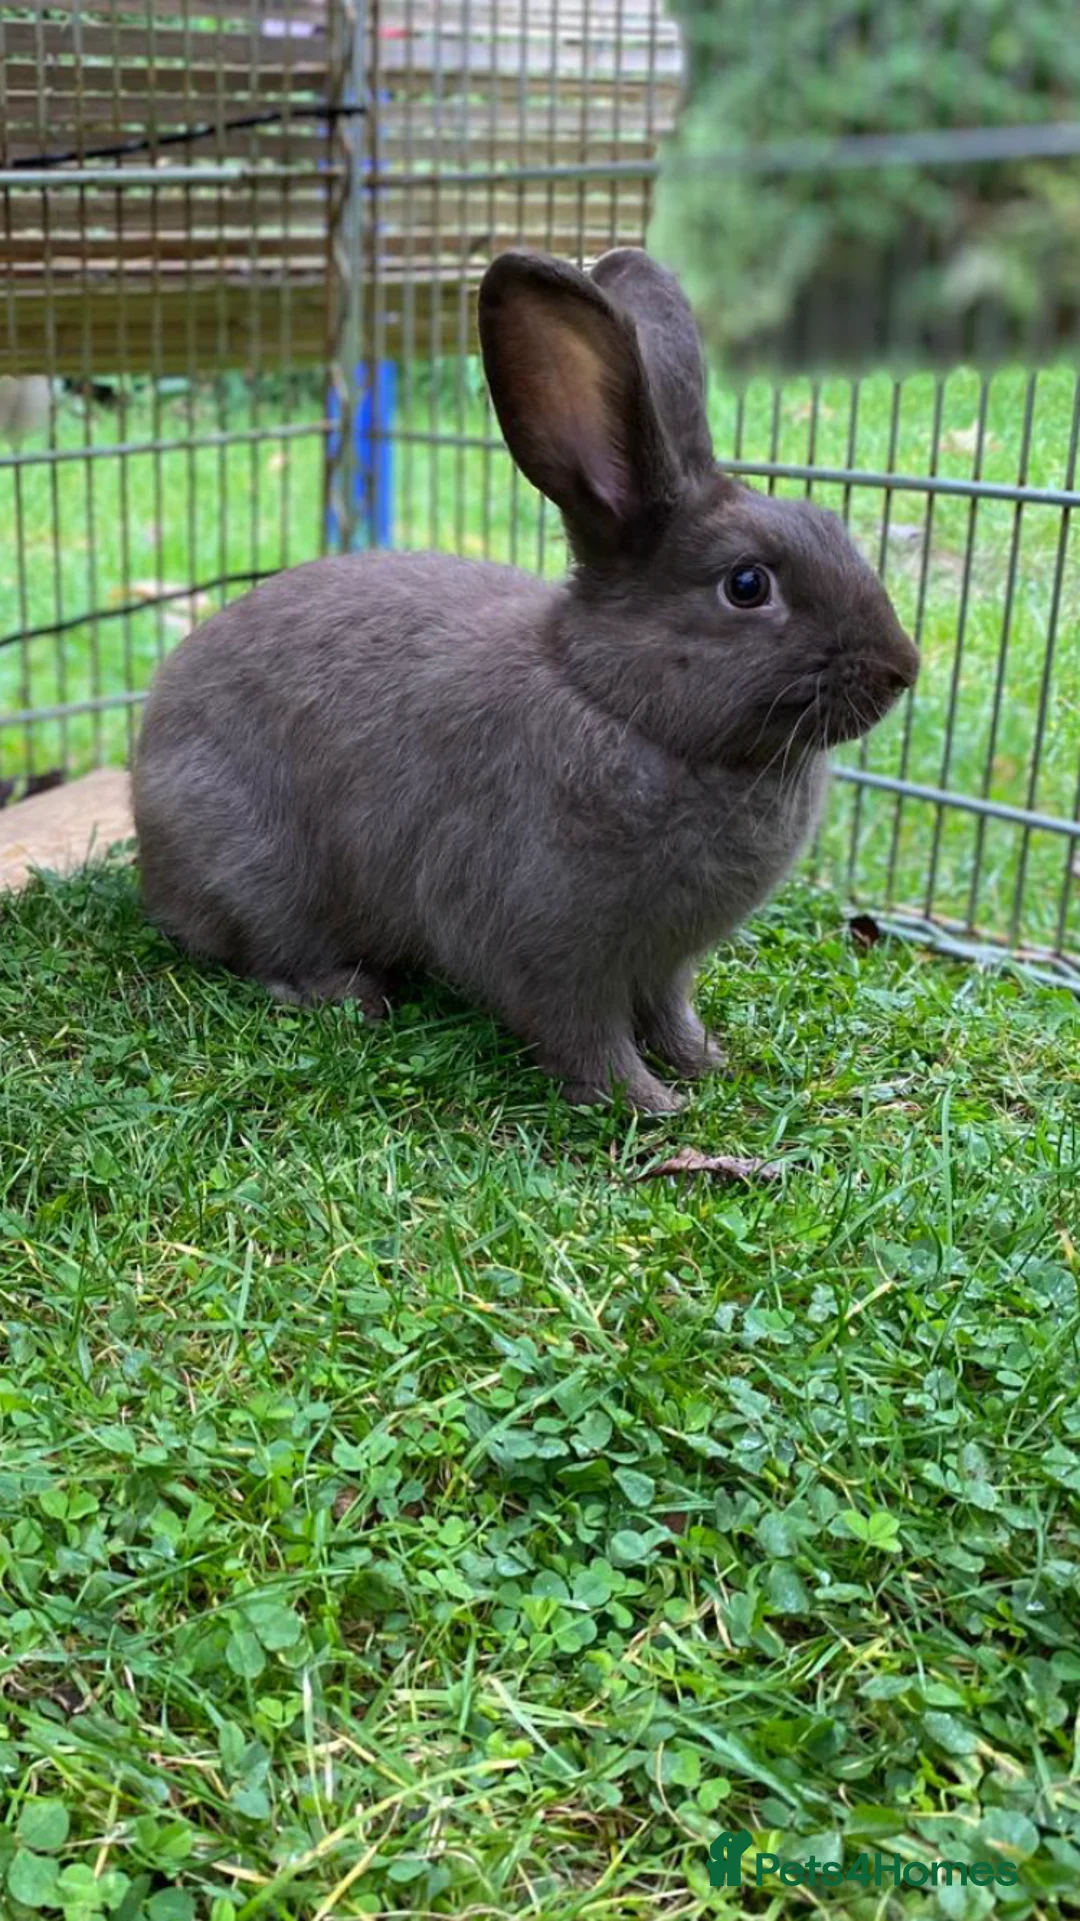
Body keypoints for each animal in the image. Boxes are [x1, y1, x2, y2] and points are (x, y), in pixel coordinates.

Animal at [133, 246, 919, 1113]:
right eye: (747, 585)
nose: (902, 669)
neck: (625, 708)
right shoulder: (548, 949)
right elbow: (583, 1036)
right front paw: (650, 1104)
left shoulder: (664, 964)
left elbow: (670, 1011)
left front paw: (707, 1063)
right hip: (257, 874)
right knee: (259, 952)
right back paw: (348, 992)